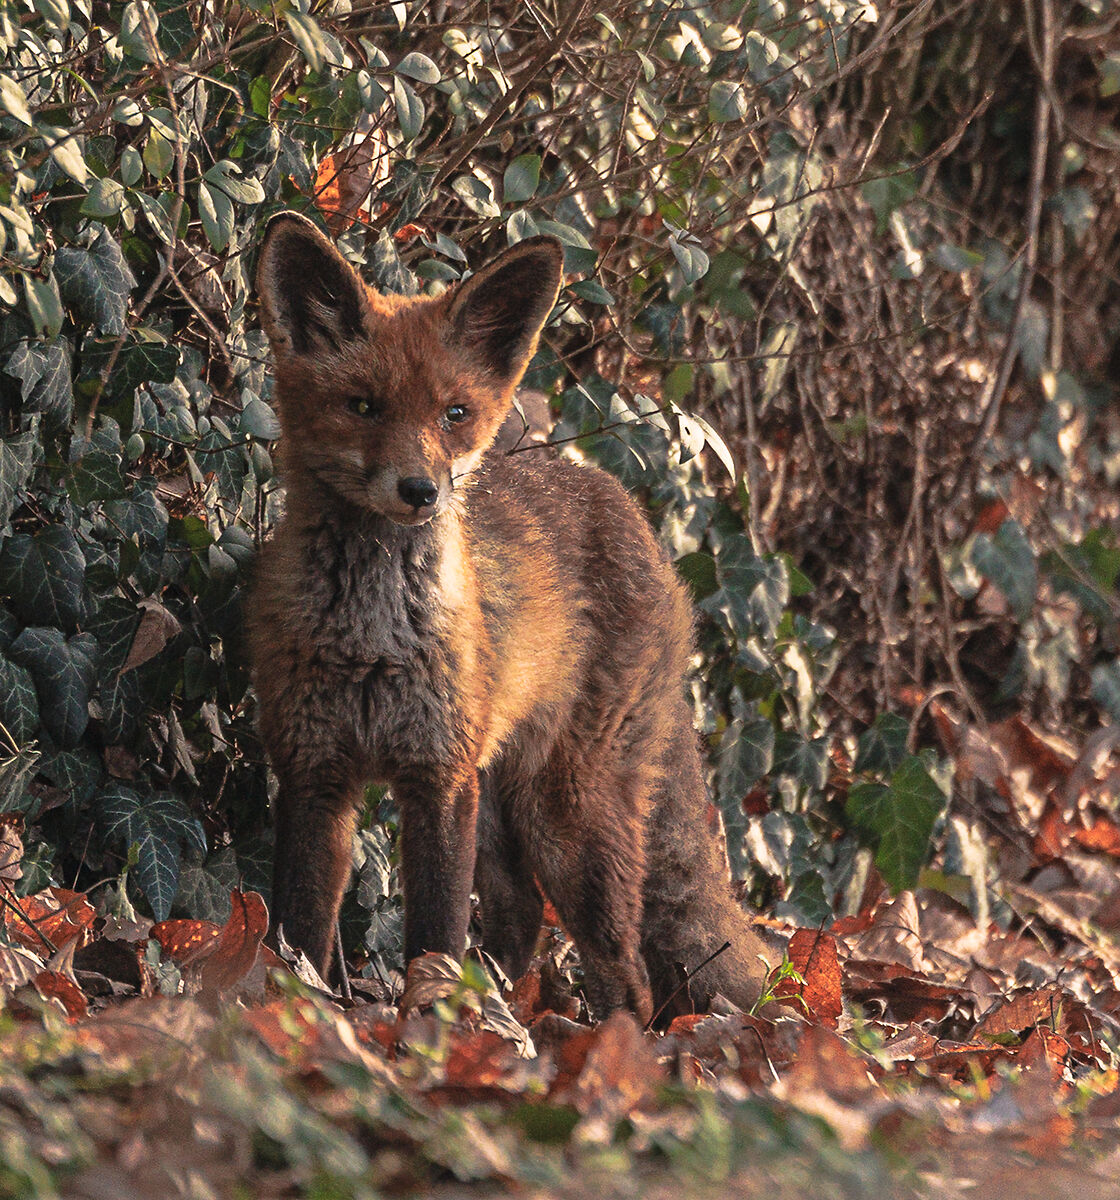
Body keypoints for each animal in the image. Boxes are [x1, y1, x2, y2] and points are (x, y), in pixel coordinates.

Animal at [249, 211, 773, 1024]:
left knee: (625, 968)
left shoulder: (438, 778)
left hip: (564, 819)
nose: (420, 491)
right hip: (501, 810)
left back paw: (607, 1042)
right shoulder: (315, 772)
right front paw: (299, 1011)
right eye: (363, 406)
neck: (374, 638)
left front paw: (427, 1021)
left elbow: (433, 937)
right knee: (521, 919)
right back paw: (503, 1012)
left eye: (454, 414)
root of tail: (636, 517)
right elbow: (300, 932)